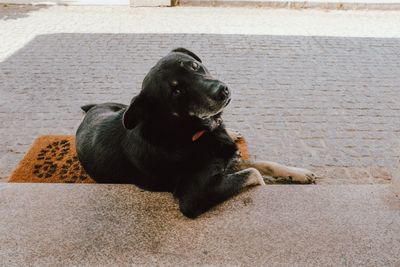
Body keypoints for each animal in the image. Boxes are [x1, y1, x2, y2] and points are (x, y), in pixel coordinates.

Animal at [76, 48, 316, 219]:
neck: (186, 132)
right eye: (176, 91)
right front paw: (268, 180)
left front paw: (298, 173)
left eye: (194, 65)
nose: (222, 91)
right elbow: (254, 173)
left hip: (123, 107)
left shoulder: (227, 156)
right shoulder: (193, 197)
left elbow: (264, 163)